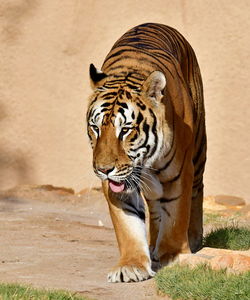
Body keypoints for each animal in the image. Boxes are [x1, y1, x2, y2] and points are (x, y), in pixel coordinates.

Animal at [86, 22, 207, 282]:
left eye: (125, 130)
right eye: (95, 127)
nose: (103, 170)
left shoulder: (179, 173)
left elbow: (176, 217)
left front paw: (173, 257)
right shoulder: (119, 185)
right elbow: (128, 226)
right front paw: (131, 266)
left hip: (199, 150)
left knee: (196, 192)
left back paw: (193, 240)